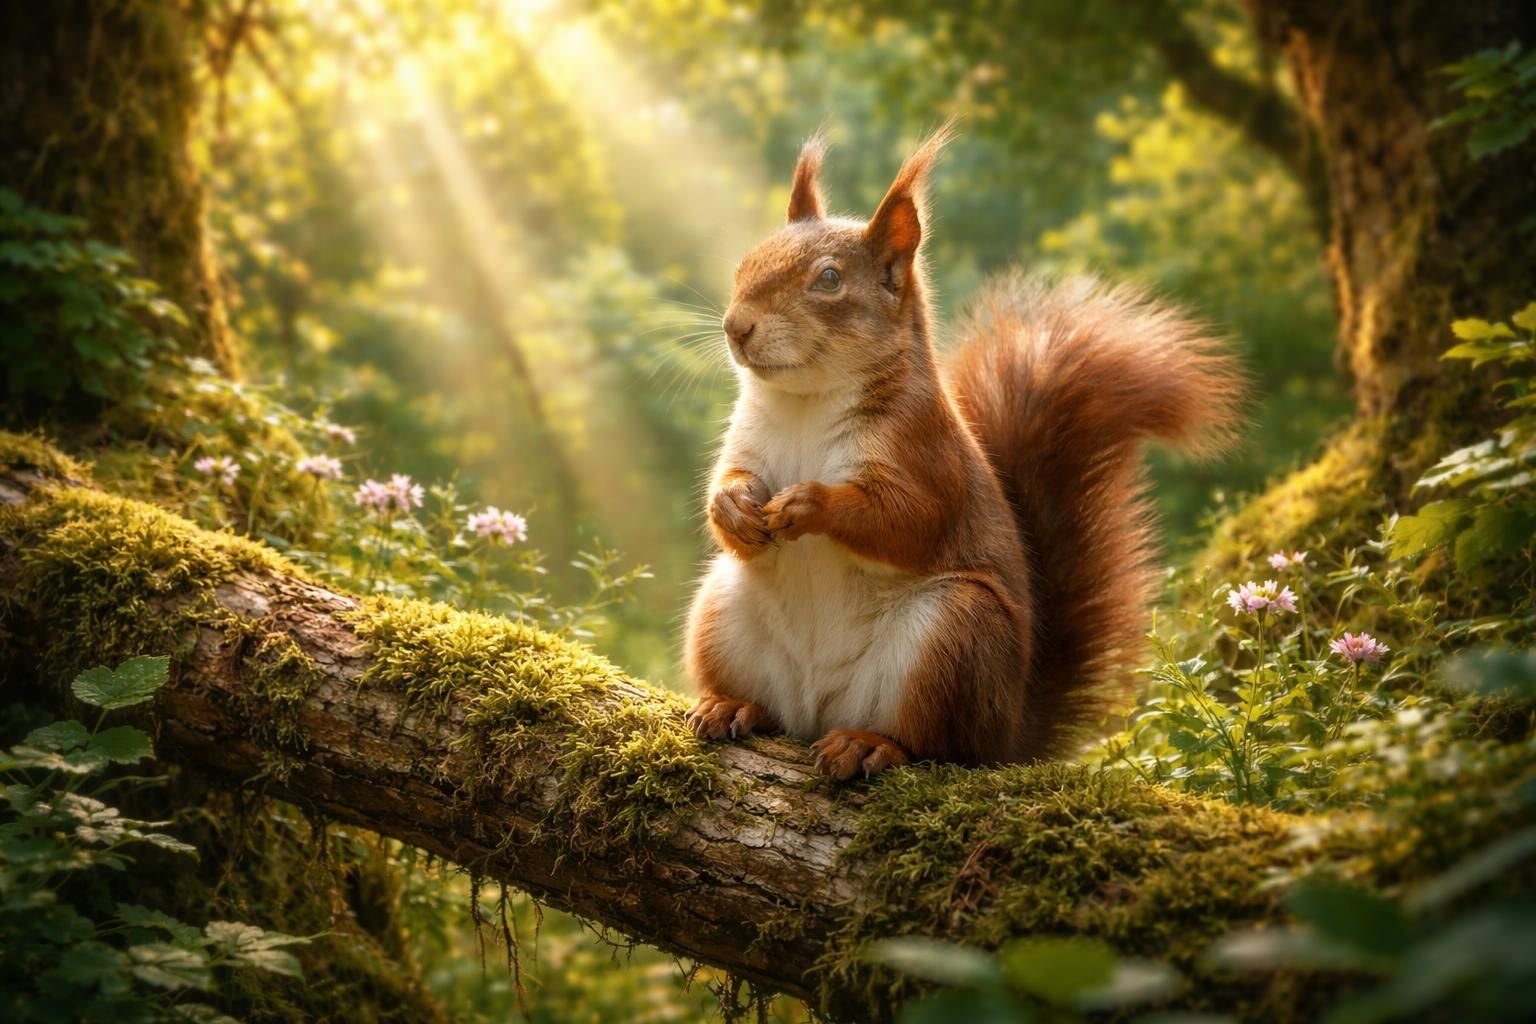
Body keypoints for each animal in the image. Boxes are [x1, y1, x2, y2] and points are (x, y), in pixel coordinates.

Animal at [684, 125, 1244, 779]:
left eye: (828, 280)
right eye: (745, 262)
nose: (736, 326)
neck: (807, 402)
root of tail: (1008, 736)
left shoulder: (924, 452)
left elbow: (907, 520)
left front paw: (807, 504)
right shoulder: (748, 439)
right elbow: (725, 482)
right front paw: (734, 507)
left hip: (956, 636)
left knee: (936, 744)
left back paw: (871, 744)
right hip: (722, 612)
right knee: (769, 703)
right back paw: (733, 705)